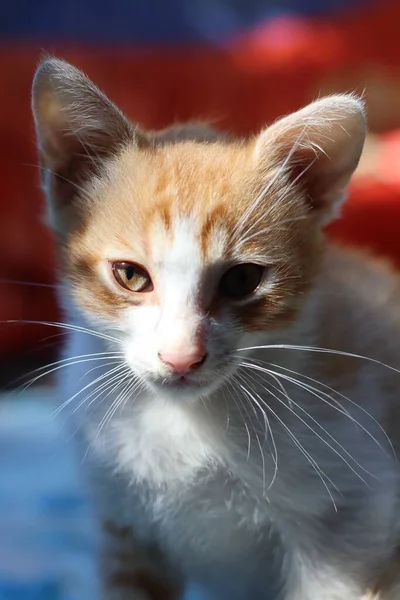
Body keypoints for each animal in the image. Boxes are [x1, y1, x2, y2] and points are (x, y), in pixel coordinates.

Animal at [31, 57, 400, 600]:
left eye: (242, 280)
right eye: (130, 275)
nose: (181, 357)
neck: (181, 419)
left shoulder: (353, 525)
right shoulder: (125, 523)